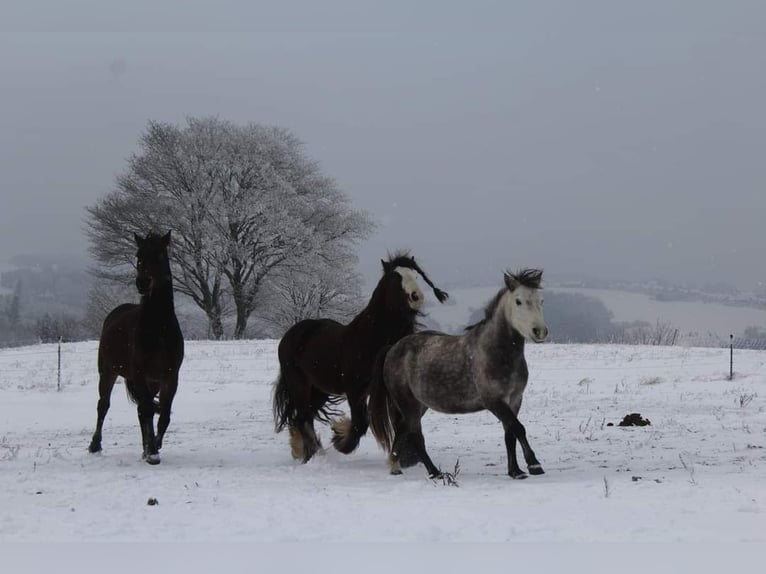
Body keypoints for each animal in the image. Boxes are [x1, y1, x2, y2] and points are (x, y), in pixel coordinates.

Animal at [88, 232, 184, 466]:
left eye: (160, 255)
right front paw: (152, 452)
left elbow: (163, 415)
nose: (143, 282)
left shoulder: (170, 377)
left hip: (152, 382)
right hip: (108, 372)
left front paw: (153, 447)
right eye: (138, 256)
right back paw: (95, 445)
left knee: (142, 410)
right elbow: (148, 410)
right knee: (103, 405)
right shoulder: (140, 374)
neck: (158, 329)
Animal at [272, 254, 450, 466]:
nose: (417, 297)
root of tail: (292, 333)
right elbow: (360, 424)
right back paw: (309, 454)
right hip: (299, 384)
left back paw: (307, 450)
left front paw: (405, 457)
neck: (370, 338)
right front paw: (340, 439)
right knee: (303, 417)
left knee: (305, 416)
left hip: (319, 390)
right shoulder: (355, 389)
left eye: (415, 276)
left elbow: (402, 423)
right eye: (394, 278)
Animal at [368, 270, 548, 482]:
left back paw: (395, 466)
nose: (540, 332)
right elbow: (518, 428)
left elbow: (510, 434)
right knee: (415, 436)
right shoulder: (494, 401)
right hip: (408, 404)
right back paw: (435, 472)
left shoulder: (514, 399)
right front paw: (534, 465)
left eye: (541, 300)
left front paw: (515, 471)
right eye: (518, 301)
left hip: (419, 405)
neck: (496, 351)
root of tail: (392, 348)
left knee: (403, 431)